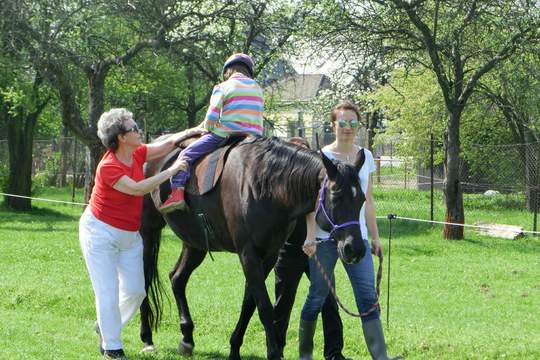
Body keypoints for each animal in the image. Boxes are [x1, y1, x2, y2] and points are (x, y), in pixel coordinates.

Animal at [139, 135, 368, 360]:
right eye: (336, 196)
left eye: (362, 199)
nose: (355, 249)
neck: (264, 186)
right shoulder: (247, 253)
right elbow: (264, 306)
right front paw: (273, 353)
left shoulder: (268, 255)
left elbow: (249, 302)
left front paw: (234, 349)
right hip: (147, 233)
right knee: (144, 280)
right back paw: (147, 339)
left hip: (195, 243)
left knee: (177, 278)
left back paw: (186, 338)